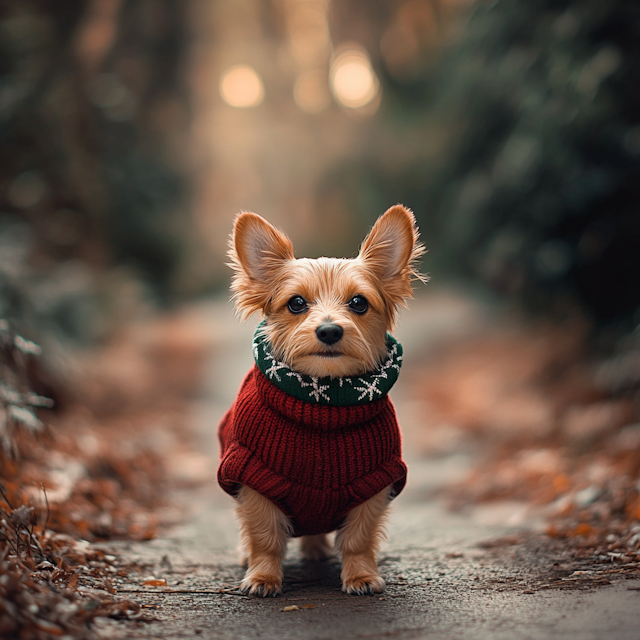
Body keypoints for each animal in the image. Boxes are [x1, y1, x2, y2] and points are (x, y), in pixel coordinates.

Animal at [216, 205, 424, 596]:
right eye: (296, 303)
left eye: (359, 303)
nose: (329, 330)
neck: (321, 404)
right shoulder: (253, 481)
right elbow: (265, 537)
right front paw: (263, 576)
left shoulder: (375, 484)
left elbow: (358, 539)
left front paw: (361, 576)